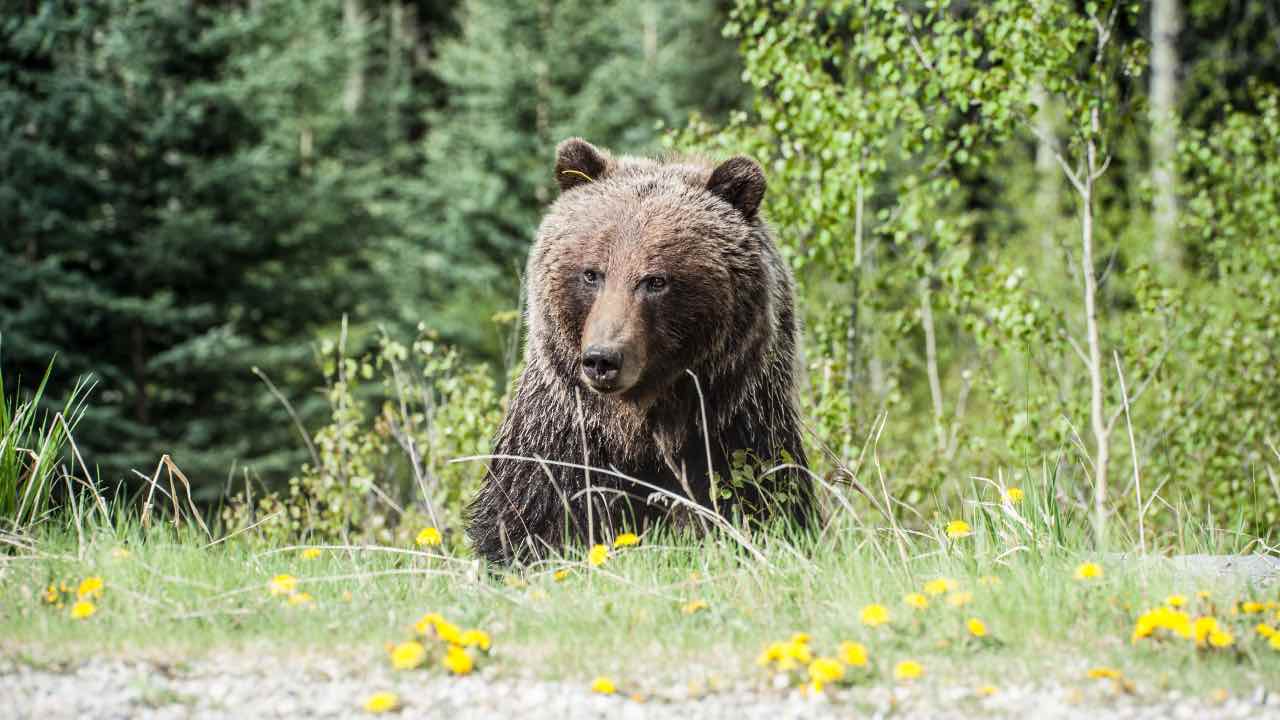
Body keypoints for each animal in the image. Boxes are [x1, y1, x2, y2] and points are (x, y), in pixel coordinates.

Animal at [465, 139, 814, 561]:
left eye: (655, 280)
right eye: (592, 273)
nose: (602, 359)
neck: (639, 425)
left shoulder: (735, 430)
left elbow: (758, 503)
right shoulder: (562, 438)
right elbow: (530, 519)